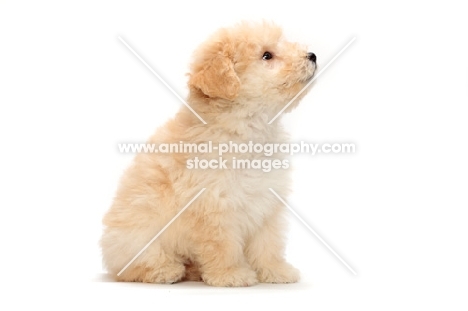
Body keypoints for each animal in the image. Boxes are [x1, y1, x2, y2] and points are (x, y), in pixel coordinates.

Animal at [100, 21, 316, 288]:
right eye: (267, 55)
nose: (312, 56)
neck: (247, 129)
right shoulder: (214, 207)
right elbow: (222, 246)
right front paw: (231, 274)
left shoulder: (267, 204)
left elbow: (268, 244)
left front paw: (275, 271)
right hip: (135, 237)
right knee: (133, 267)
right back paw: (166, 270)